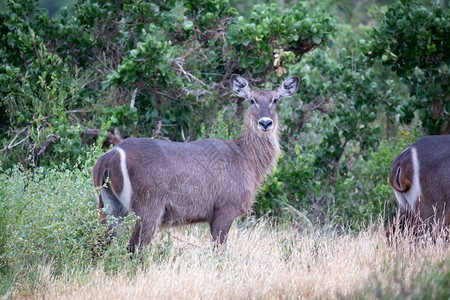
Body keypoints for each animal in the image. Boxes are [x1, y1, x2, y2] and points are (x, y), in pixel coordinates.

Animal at [93, 74, 300, 252]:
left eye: (275, 99)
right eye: (252, 100)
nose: (265, 123)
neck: (245, 157)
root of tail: (109, 157)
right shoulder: (225, 210)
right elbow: (219, 251)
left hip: (110, 206)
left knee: (100, 244)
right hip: (148, 208)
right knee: (134, 248)